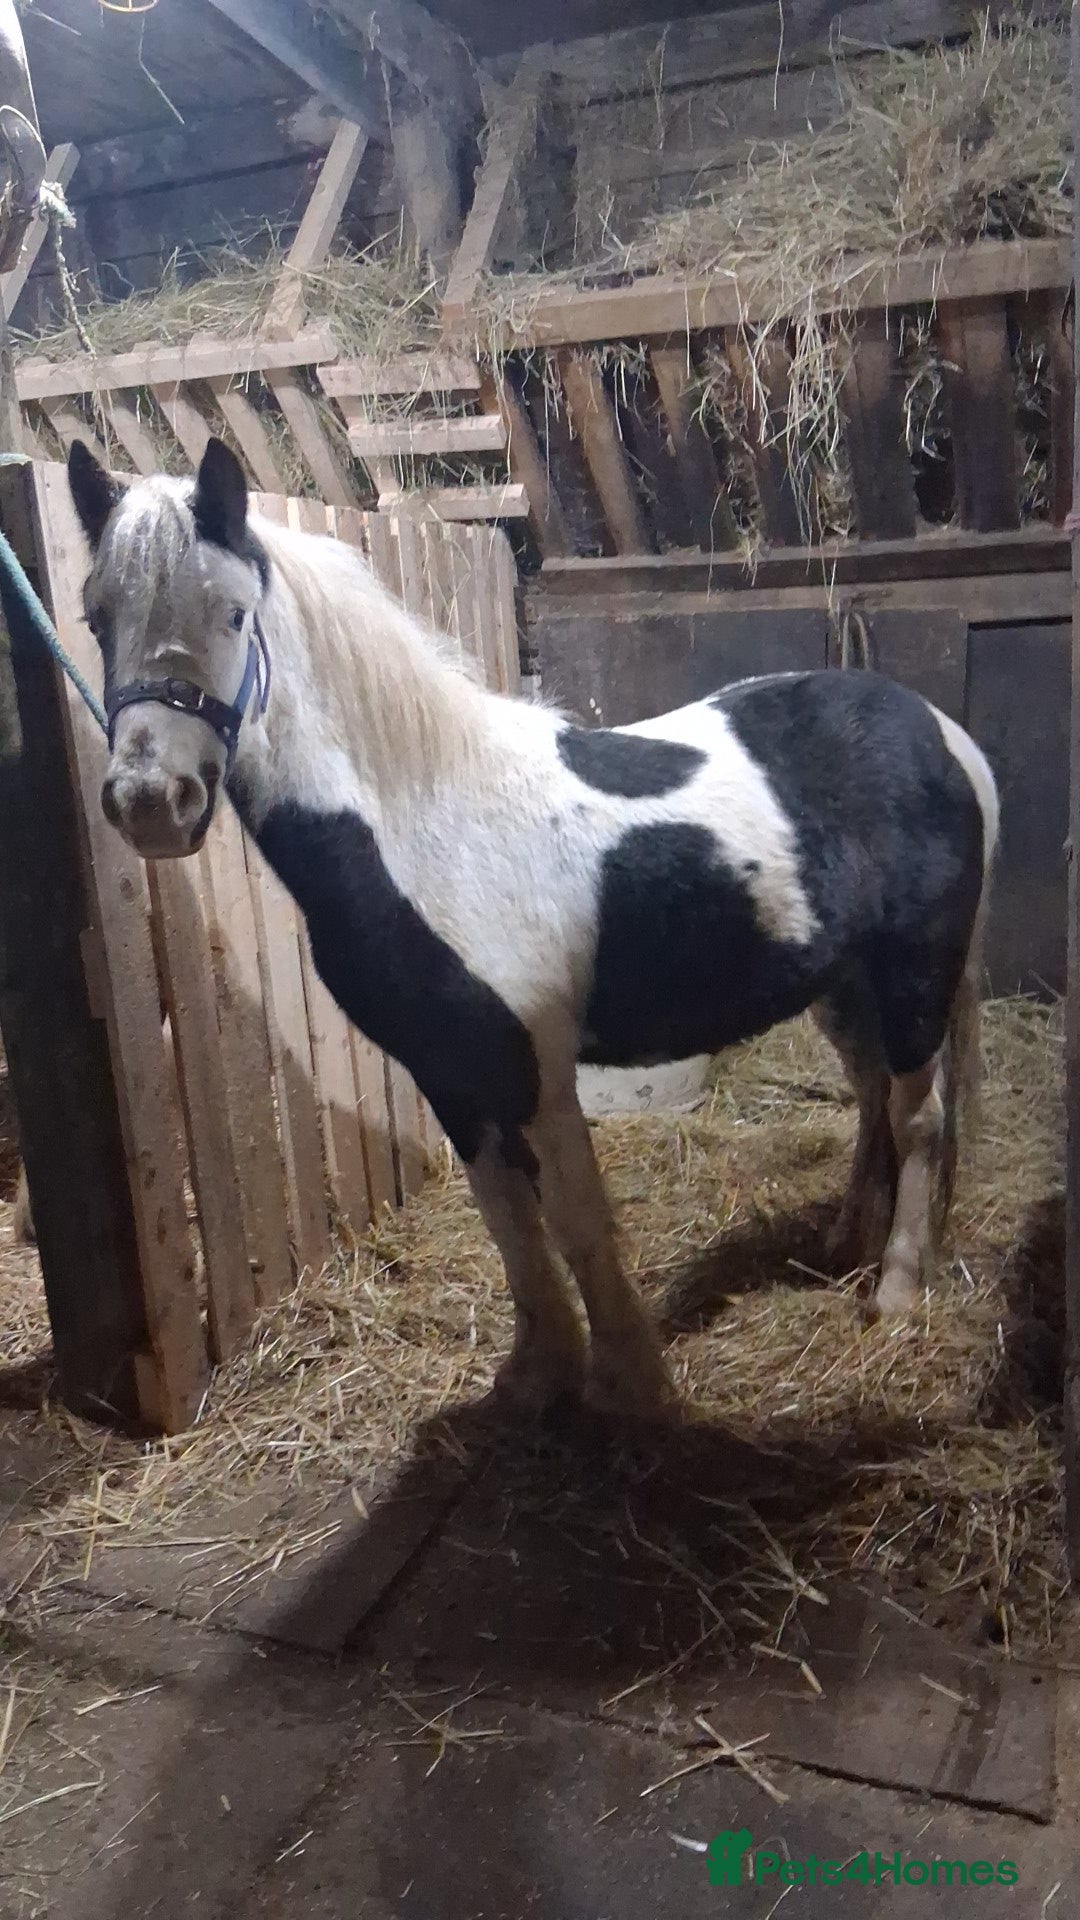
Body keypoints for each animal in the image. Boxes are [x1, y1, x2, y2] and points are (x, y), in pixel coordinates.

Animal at [66, 437, 999, 1415]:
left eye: (234, 613)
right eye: (96, 616)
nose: (150, 803)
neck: (428, 827)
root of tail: (939, 732)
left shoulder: (537, 1072)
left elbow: (579, 1222)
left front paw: (629, 1381)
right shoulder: (449, 1073)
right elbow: (509, 1222)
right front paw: (536, 1370)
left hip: (916, 983)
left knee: (920, 1117)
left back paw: (895, 1290)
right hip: (843, 988)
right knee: (873, 1099)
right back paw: (848, 1243)